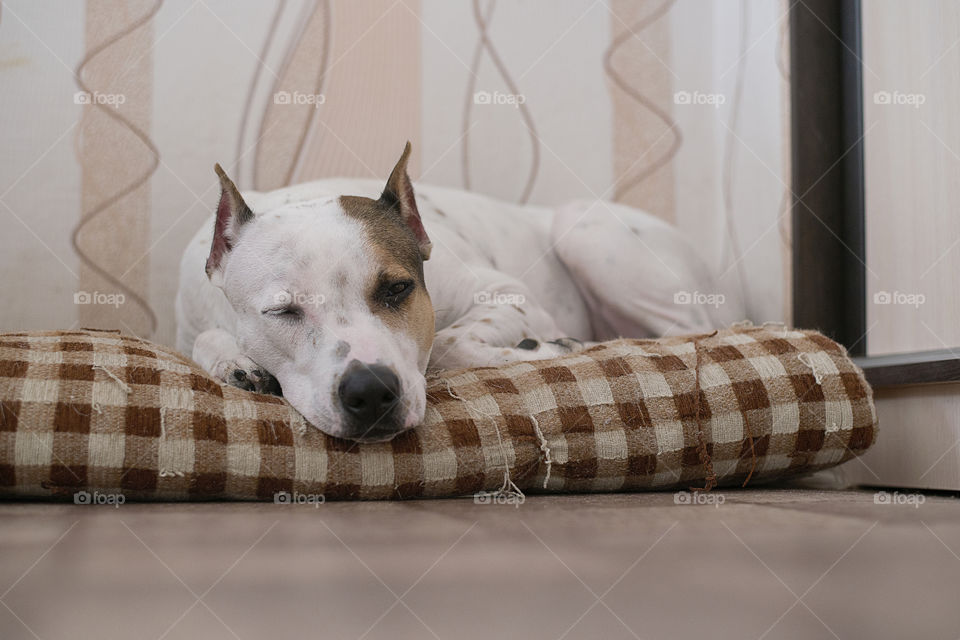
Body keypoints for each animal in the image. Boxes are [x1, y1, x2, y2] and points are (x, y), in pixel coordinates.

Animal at [174, 141, 744, 440]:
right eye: (283, 312)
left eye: (399, 289)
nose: (370, 391)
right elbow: (205, 340)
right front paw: (236, 362)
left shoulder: (507, 293)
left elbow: (448, 343)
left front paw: (538, 348)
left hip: (584, 227)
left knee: (686, 332)